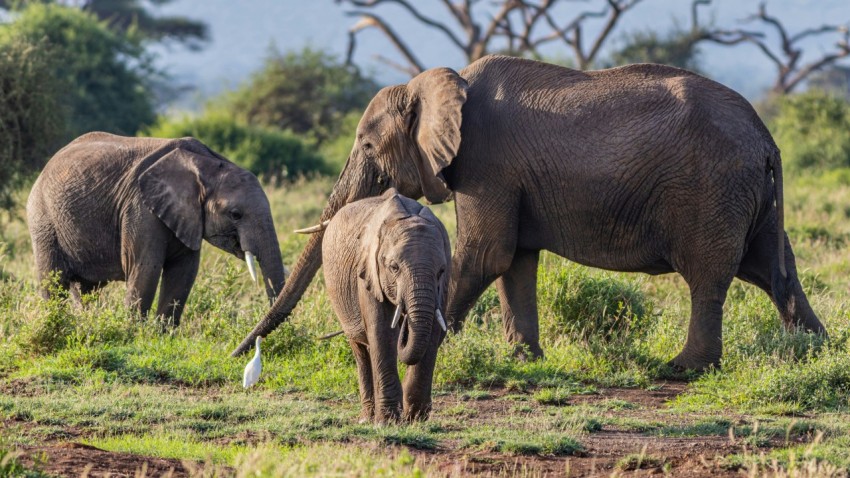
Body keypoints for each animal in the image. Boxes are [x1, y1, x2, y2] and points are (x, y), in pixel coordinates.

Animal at [27, 132, 285, 325]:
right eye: (235, 214)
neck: (207, 164)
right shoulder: (140, 209)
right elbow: (145, 269)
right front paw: (133, 335)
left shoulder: (187, 217)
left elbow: (183, 273)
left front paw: (163, 336)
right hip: (43, 220)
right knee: (52, 282)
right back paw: (55, 323)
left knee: (86, 289)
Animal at [232, 55, 826, 371]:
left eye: (368, 146)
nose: (242, 351)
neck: (438, 81)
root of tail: (767, 140)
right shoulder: (508, 177)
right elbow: (513, 260)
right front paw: (524, 360)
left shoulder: (487, 162)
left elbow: (483, 254)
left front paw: (435, 349)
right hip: (748, 194)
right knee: (773, 269)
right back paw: (811, 351)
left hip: (713, 190)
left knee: (710, 275)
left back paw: (684, 369)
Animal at [323, 189, 450, 423]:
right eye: (394, 267)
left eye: (441, 271)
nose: (405, 325)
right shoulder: (368, 272)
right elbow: (381, 331)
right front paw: (387, 422)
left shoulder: (443, 285)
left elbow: (434, 330)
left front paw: (415, 418)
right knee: (361, 350)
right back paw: (367, 418)